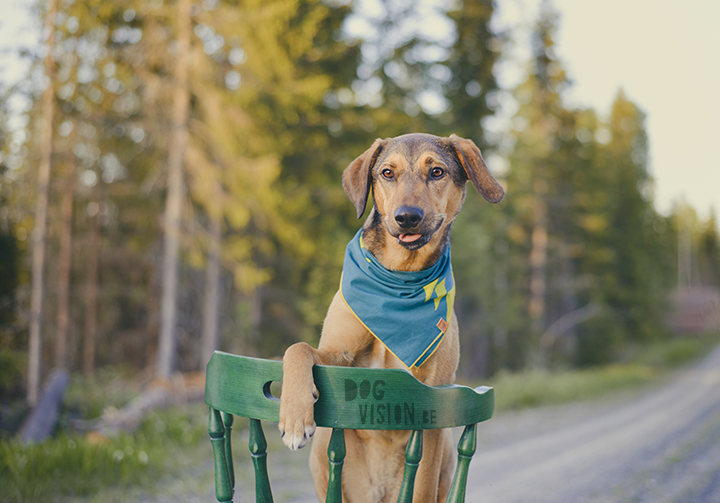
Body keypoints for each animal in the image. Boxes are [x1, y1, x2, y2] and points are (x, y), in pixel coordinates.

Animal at [278, 132, 504, 502]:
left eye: (437, 172)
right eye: (387, 173)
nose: (407, 217)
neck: (400, 276)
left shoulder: (431, 405)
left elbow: (421, 483)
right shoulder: (338, 356)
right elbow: (297, 348)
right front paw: (295, 418)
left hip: (445, 451)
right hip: (326, 451)